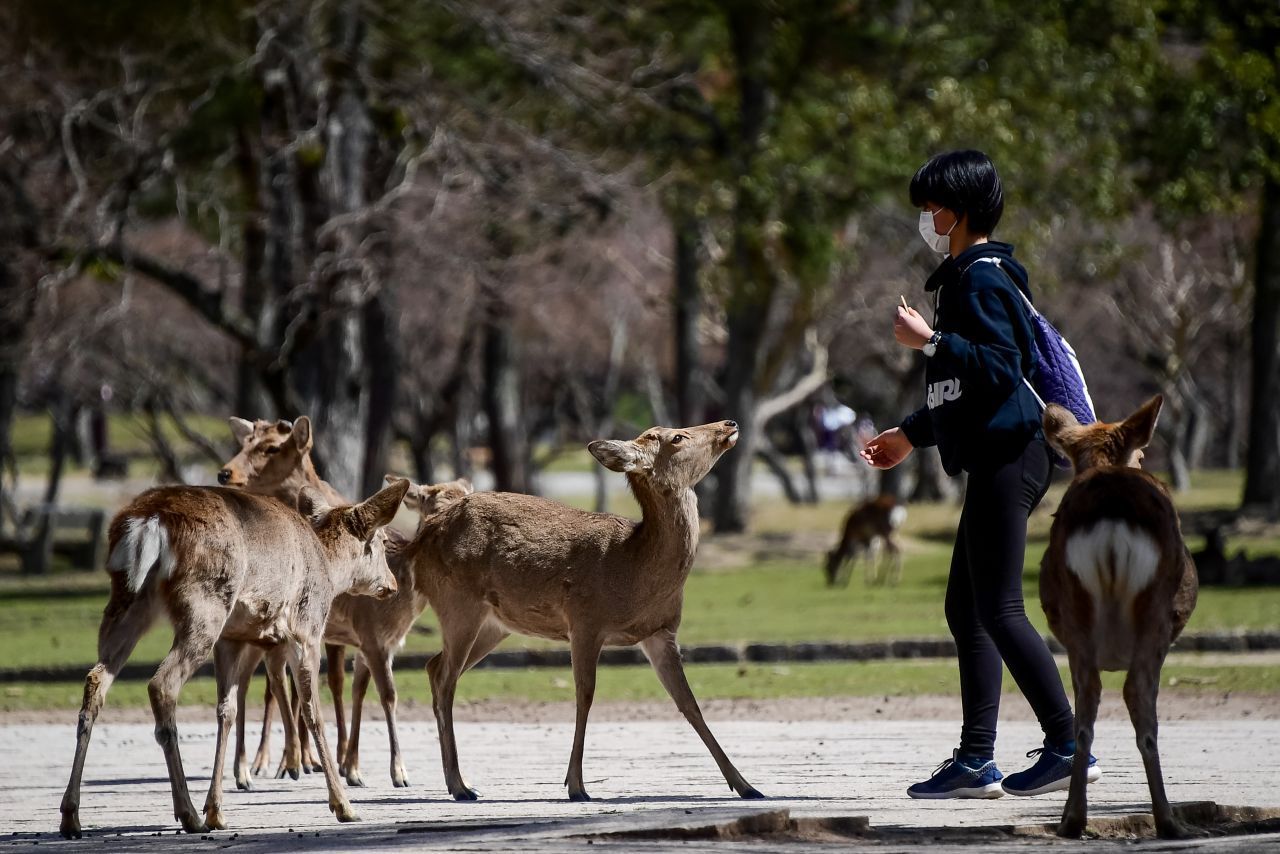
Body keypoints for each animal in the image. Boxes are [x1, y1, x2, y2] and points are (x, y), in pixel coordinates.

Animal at [57, 481, 407, 839]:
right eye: (380, 542)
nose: (392, 585)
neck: (328, 567)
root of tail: (148, 522)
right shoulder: (306, 630)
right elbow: (313, 713)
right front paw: (344, 806)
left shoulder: (232, 637)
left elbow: (227, 710)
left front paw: (217, 810)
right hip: (205, 603)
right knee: (161, 683)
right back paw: (187, 814)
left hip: (127, 602)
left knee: (96, 679)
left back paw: (71, 816)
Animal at [404, 419, 757, 804]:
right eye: (676, 437)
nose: (729, 423)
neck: (634, 570)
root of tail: (420, 540)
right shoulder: (585, 621)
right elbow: (584, 695)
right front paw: (576, 786)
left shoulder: (660, 631)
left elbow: (689, 703)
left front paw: (746, 785)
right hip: (457, 603)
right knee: (445, 678)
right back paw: (460, 785)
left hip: (493, 625)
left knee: (433, 666)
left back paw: (456, 781)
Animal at [1039, 396, 1198, 839]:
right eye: (1141, 454)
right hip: (1156, 615)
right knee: (1138, 697)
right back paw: (1168, 820)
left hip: (1073, 614)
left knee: (1085, 705)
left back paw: (1072, 819)